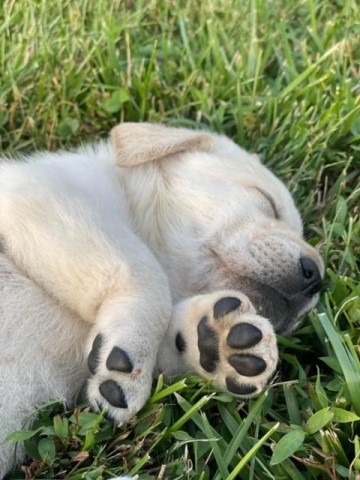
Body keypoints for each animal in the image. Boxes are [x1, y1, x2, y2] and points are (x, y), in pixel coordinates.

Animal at [0, 124, 324, 476]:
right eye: (267, 203)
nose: (317, 279)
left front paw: (218, 342)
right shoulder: (41, 193)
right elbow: (144, 271)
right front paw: (132, 351)